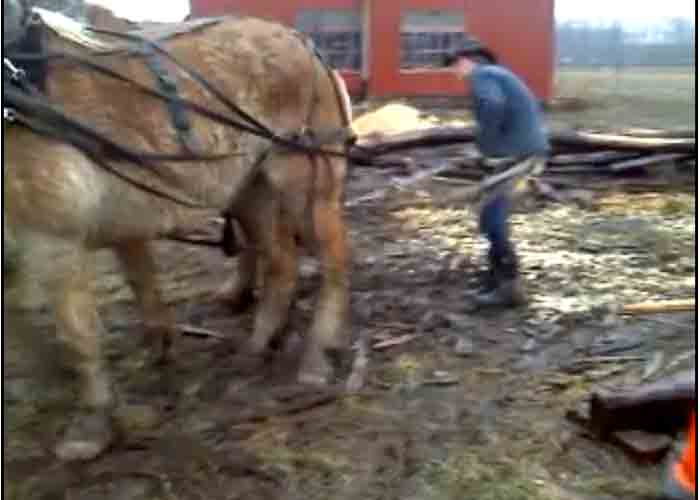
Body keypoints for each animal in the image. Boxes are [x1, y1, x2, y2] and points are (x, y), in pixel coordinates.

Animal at [5, 0, 352, 460]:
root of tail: (304, 44)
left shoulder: (52, 240)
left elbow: (77, 335)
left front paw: (91, 423)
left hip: (304, 181)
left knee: (334, 260)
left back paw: (316, 356)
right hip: (250, 187)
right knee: (282, 264)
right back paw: (257, 346)